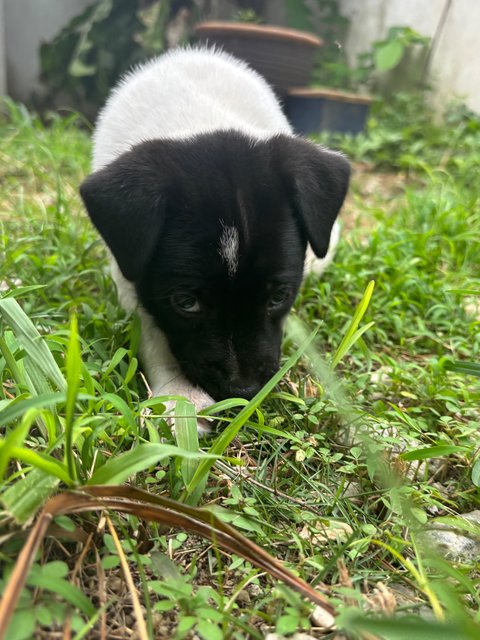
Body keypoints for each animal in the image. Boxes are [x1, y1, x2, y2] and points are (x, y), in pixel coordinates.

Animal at [79, 48, 348, 420]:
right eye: (186, 303)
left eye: (279, 296)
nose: (243, 392)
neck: (197, 120)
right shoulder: (128, 272)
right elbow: (151, 329)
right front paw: (179, 396)